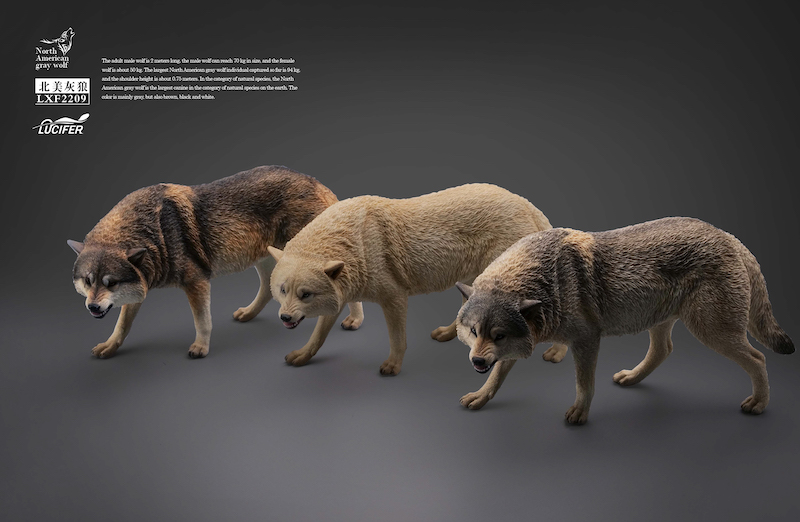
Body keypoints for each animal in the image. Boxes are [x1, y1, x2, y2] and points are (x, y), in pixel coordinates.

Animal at [67, 165, 364, 359]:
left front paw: (201, 347)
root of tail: (320, 184)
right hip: (267, 259)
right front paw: (109, 346)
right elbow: (122, 324)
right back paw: (248, 314)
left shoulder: (196, 281)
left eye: (111, 283)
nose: (92, 307)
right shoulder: (141, 285)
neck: (155, 231)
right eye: (88, 281)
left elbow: (202, 321)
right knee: (268, 290)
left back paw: (355, 320)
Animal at [267, 183, 565, 376]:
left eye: (305, 294)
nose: (285, 318)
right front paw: (301, 355)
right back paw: (447, 333)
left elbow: (397, 339)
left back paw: (557, 353)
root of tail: (527, 204)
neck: (356, 242)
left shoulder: (395, 297)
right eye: (282, 290)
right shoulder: (340, 294)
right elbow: (318, 335)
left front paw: (392, 367)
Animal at [454, 217, 794, 423]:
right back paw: (632, 377)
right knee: (663, 350)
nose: (477, 361)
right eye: (474, 331)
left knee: (758, 358)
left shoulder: (586, 340)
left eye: (498, 335)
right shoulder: (521, 343)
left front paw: (579, 413)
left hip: (712, 331)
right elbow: (497, 377)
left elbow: (584, 384)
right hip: (662, 322)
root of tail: (729, 236)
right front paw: (480, 396)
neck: (550, 283)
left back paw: (759, 403)